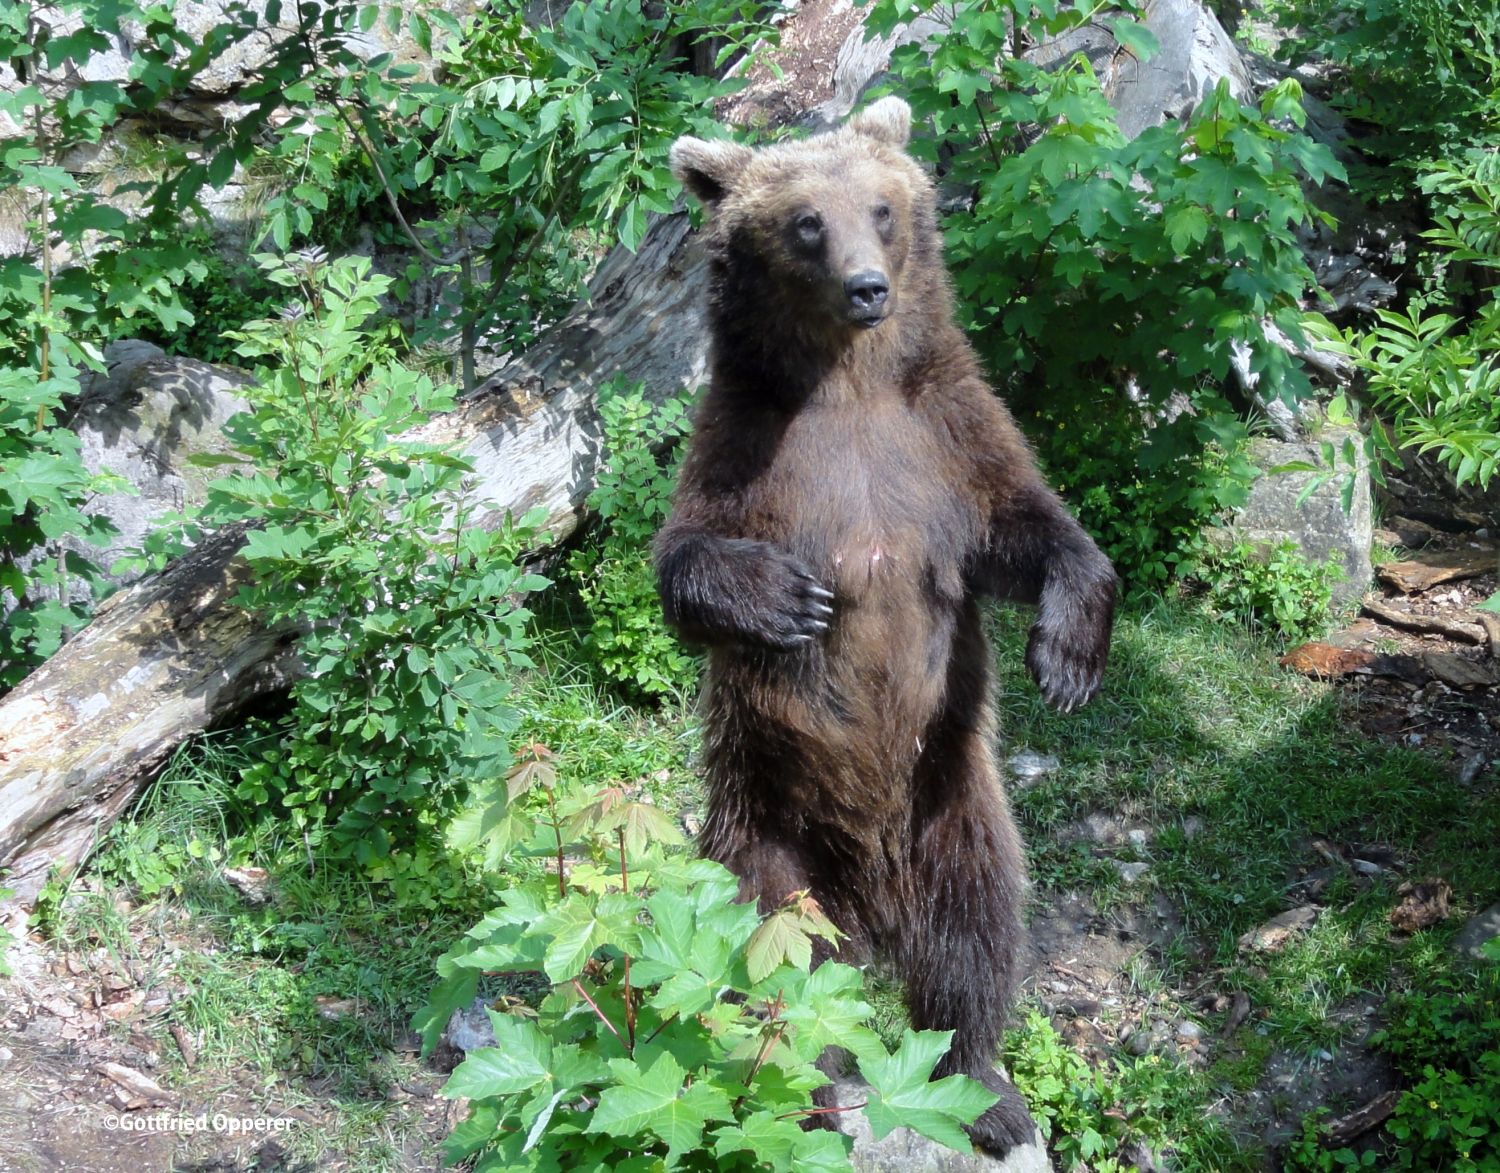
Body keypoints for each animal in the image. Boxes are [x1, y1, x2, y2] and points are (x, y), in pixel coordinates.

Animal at [654, 99, 1116, 1158]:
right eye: (804, 223)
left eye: (881, 207)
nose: (867, 286)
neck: (850, 384)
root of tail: (871, 901)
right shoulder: (745, 446)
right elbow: (682, 562)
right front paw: (789, 599)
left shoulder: (946, 440)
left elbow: (1029, 525)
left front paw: (1068, 653)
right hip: (763, 835)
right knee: (778, 972)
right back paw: (812, 1099)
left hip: (953, 804)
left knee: (976, 929)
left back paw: (986, 1085)